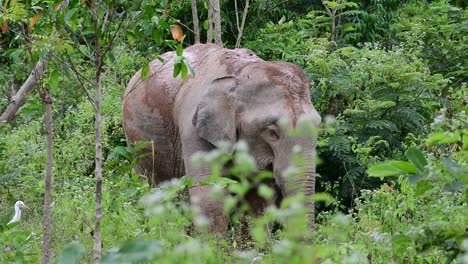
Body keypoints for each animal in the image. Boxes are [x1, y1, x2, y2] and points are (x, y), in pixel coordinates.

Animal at [121, 42, 322, 233]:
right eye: (272, 132)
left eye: (318, 127)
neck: (241, 73)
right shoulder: (193, 129)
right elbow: (210, 197)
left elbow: (258, 203)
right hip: (137, 144)